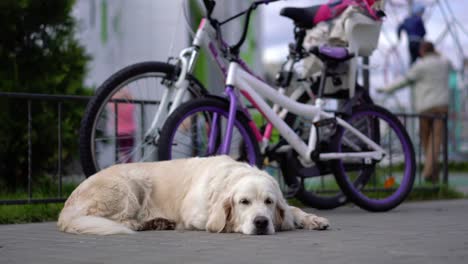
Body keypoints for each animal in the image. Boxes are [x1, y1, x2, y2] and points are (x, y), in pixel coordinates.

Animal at [57, 155, 330, 235]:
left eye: (269, 202)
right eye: (244, 202)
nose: (261, 222)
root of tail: (65, 210)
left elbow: (293, 209)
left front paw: (313, 219)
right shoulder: (197, 216)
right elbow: (217, 222)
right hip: (129, 187)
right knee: (122, 220)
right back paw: (149, 223)